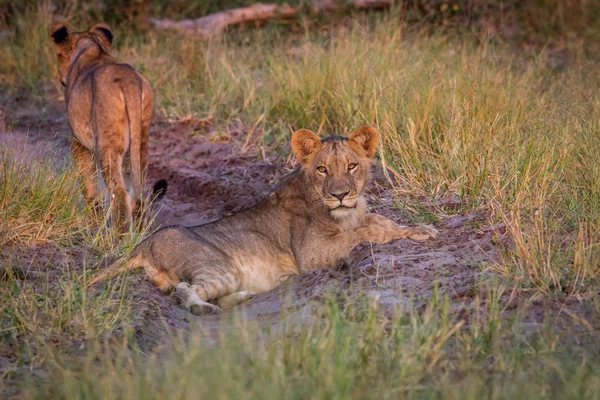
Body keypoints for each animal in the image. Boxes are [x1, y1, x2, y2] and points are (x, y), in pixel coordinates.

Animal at [49, 21, 155, 233]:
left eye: (58, 55)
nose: (58, 76)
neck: (92, 47)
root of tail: (128, 79)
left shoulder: (78, 142)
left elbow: (88, 185)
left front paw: (94, 225)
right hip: (140, 142)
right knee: (137, 190)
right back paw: (139, 233)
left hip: (107, 147)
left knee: (120, 193)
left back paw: (118, 237)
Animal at [118, 126, 436, 314]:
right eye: (322, 169)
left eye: (352, 166)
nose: (341, 195)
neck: (345, 212)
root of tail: (142, 246)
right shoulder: (312, 254)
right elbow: (367, 232)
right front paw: (416, 234)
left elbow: (382, 222)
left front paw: (421, 228)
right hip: (216, 265)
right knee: (184, 292)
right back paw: (207, 308)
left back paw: (248, 294)